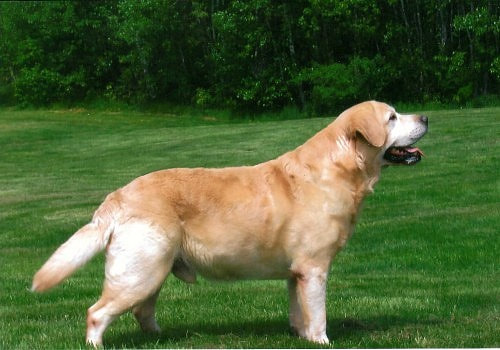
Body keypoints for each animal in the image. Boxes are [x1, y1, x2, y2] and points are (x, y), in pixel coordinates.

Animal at [33, 100, 428, 344]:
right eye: (392, 117)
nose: (425, 117)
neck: (339, 169)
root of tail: (118, 195)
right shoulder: (314, 268)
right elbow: (317, 314)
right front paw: (321, 340)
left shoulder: (296, 272)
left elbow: (298, 311)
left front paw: (301, 337)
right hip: (139, 271)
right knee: (97, 313)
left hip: (152, 271)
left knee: (142, 311)